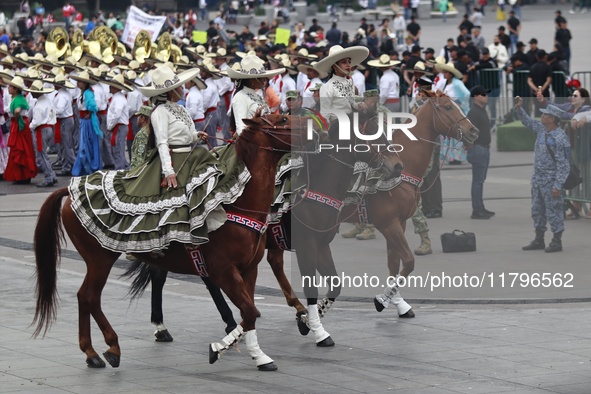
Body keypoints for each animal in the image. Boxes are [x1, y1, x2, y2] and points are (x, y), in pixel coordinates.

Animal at [31, 114, 320, 372]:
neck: (238, 202)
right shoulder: (224, 271)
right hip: (99, 259)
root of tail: (68, 191)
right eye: (282, 119)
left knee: (85, 296)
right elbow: (249, 312)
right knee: (90, 296)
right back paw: (110, 348)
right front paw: (221, 348)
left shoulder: (249, 269)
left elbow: (249, 314)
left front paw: (257, 355)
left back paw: (92, 352)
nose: (315, 130)